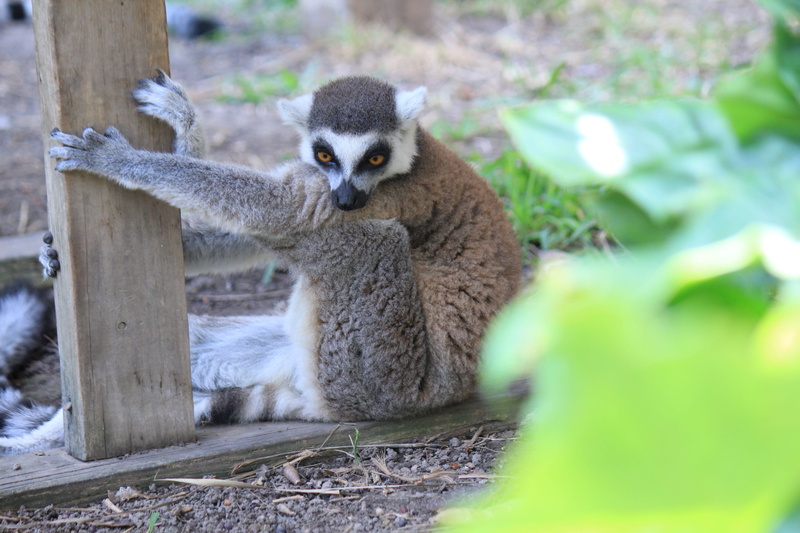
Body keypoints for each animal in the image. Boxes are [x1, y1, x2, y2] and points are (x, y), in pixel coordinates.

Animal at [0, 71, 521, 455]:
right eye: (325, 153)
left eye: (375, 157)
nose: (347, 199)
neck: (414, 158)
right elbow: (241, 230)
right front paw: (185, 125)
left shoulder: (395, 195)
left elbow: (278, 209)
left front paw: (119, 160)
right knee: (199, 346)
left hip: (375, 374)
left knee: (370, 241)